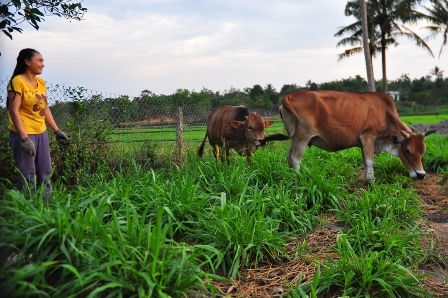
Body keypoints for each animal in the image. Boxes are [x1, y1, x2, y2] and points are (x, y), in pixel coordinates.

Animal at [278, 91, 436, 183]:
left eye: (423, 151)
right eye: (408, 150)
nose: (421, 175)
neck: (386, 114)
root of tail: (288, 96)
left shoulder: (362, 143)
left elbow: (365, 162)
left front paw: (367, 179)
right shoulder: (368, 137)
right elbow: (370, 161)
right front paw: (371, 182)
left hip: (294, 139)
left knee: (289, 157)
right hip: (302, 138)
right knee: (295, 158)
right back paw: (298, 179)